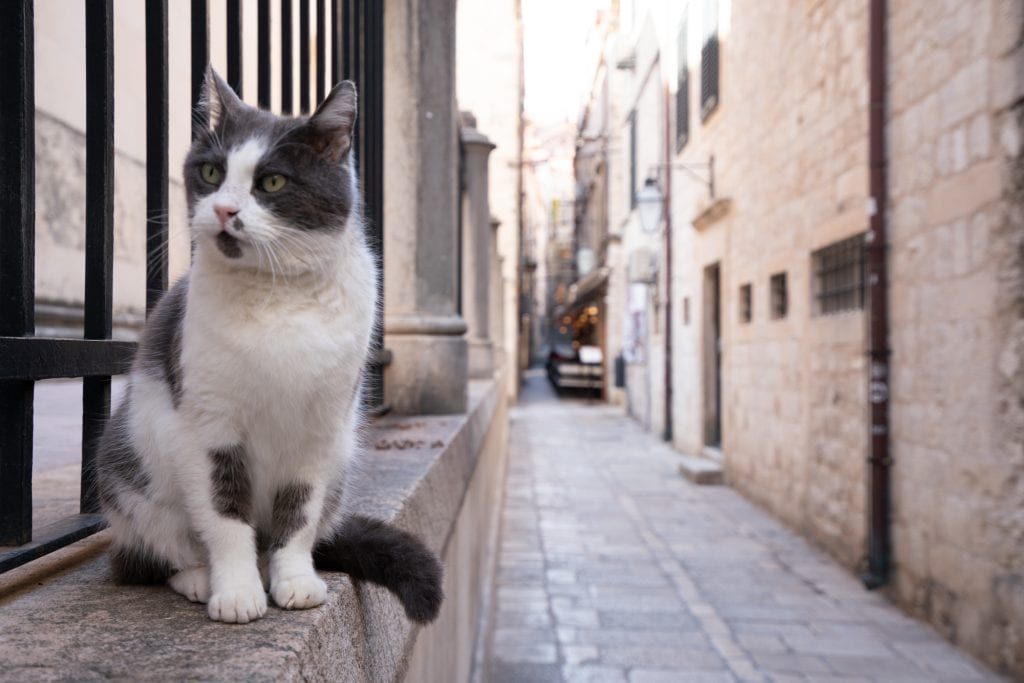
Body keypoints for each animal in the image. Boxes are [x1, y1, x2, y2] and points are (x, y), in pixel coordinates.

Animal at [96, 69, 444, 626]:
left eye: (273, 182)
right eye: (211, 172)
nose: (222, 208)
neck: (277, 294)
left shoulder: (318, 432)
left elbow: (297, 516)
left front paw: (295, 581)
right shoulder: (209, 428)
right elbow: (224, 518)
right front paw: (237, 592)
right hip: (130, 473)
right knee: (153, 553)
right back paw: (199, 577)